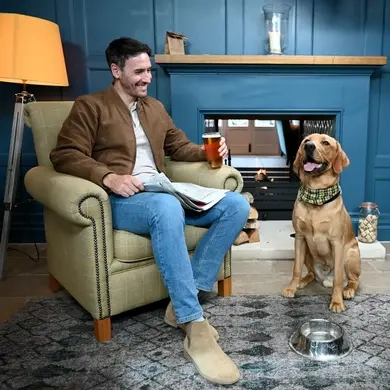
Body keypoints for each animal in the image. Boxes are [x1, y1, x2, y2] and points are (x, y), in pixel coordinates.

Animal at [282, 134, 362, 314]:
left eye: (326, 143)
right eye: (306, 141)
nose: (309, 146)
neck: (316, 192)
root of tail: (326, 277)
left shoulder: (337, 242)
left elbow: (339, 278)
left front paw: (337, 301)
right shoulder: (300, 238)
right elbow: (296, 268)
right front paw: (291, 288)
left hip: (350, 255)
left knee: (353, 280)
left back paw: (348, 290)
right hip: (307, 252)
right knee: (311, 273)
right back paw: (303, 281)